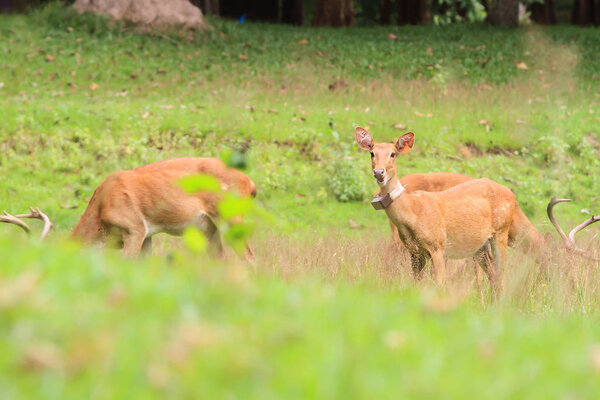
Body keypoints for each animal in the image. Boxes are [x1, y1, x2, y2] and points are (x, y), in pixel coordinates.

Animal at [0, 158, 255, 260]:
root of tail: (250, 183)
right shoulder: (148, 236)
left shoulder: (135, 227)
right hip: (209, 227)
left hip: (231, 216)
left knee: (249, 256)